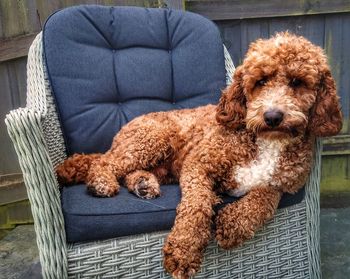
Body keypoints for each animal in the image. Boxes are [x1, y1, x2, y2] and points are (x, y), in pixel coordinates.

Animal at [56, 31, 342, 278]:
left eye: (297, 82)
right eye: (260, 81)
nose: (272, 116)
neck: (265, 140)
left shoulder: (282, 185)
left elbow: (263, 199)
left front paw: (233, 225)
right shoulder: (199, 164)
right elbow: (197, 204)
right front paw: (184, 251)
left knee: (126, 171)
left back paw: (143, 184)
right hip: (151, 138)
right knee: (106, 162)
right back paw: (102, 181)